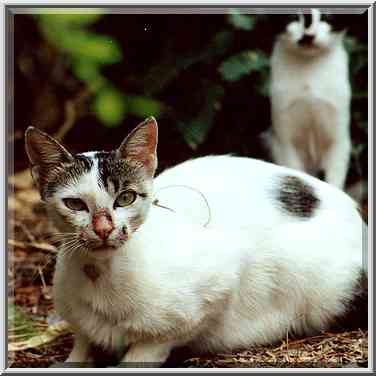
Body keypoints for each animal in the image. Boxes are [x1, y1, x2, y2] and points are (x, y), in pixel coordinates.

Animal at [25, 116, 366, 366]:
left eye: (125, 198)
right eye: (75, 204)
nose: (104, 228)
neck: (99, 273)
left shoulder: (219, 283)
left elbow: (150, 346)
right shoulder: (80, 324)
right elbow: (81, 345)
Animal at [268, 8, 352, 189]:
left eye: (328, 15)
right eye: (292, 15)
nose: (308, 35)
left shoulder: (339, 135)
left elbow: (334, 180)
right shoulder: (285, 135)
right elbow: (293, 172)